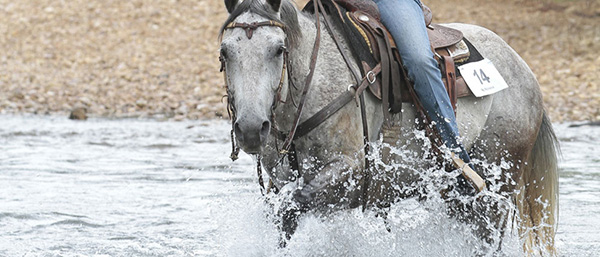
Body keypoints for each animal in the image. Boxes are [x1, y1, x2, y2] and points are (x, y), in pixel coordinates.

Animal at [218, 0, 560, 253]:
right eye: (225, 52)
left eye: (278, 49)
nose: (251, 128)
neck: (313, 82)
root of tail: (523, 68)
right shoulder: (283, 182)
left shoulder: (348, 171)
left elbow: (292, 206)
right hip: (458, 195)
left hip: (499, 176)